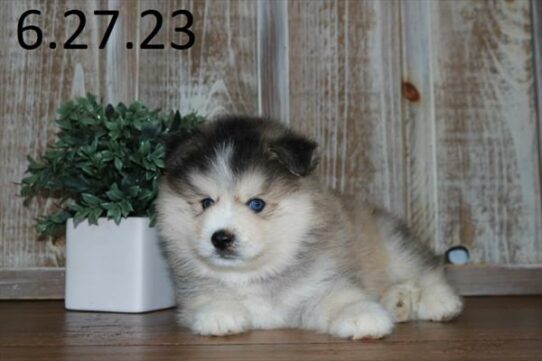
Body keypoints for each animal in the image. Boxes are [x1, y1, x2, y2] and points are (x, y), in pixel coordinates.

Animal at [156, 116, 464, 338]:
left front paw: (361, 315)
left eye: (256, 204)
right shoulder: (190, 291)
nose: (221, 238)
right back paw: (398, 301)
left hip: (392, 243)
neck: (256, 275)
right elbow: (205, 296)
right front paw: (219, 311)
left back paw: (438, 301)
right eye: (206, 202)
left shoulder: (322, 282)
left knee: (424, 270)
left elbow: (341, 298)